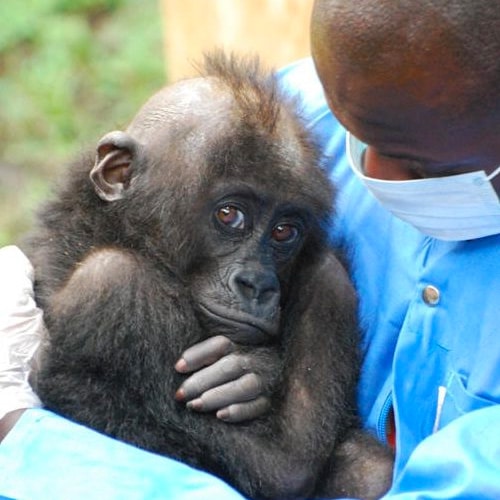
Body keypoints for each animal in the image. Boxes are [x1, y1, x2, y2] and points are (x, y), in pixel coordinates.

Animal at [27, 52, 394, 498]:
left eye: (283, 231)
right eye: (229, 215)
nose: (257, 285)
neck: (119, 231)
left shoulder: (331, 284)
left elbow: (291, 465)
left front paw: (253, 372)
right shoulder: (111, 286)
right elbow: (285, 469)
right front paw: (256, 372)